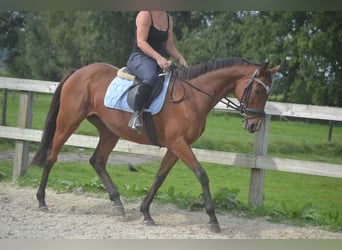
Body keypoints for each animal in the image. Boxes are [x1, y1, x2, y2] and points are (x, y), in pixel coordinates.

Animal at [30, 56, 280, 232]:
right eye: (258, 90)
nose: (254, 125)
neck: (192, 97)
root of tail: (79, 72)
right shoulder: (179, 144)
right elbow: (202, 175)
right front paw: (213, 219)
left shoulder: (176, 146)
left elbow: (160, 177)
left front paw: (146, 213)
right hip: (68, 122)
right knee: (52, 157)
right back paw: (41, 201)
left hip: (109, 131)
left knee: (97, 161)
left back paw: (118, 204)